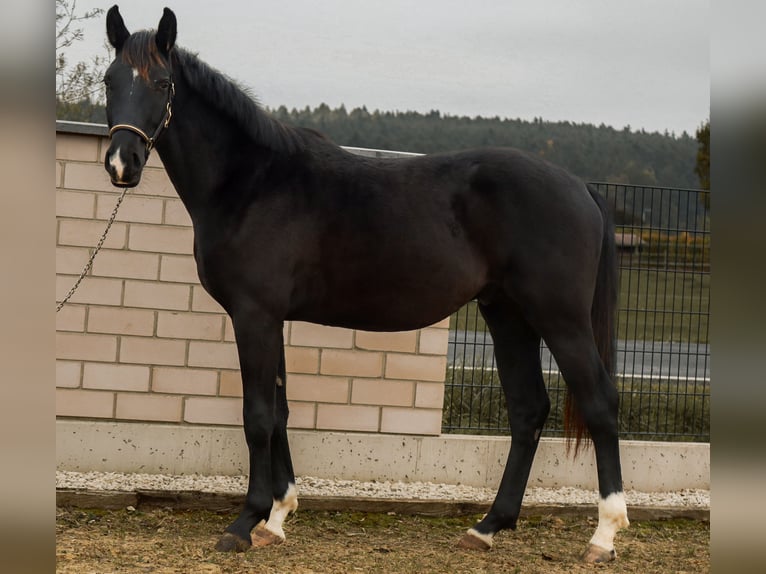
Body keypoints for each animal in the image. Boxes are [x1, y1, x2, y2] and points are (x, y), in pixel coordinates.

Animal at [102, 5, 632, 564]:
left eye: (162, 83)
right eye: (110, 80)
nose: (121, 163)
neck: (250, 182)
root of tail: (580, 186)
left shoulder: (254, 316)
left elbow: (258, 416)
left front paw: (245, 522)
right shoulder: (272, 319)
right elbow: (281, 412)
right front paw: (278, 517)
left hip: (561, 319)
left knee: (600, 403)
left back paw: (604, 534)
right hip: (507, 315)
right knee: (529, 410)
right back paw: (488, 526)